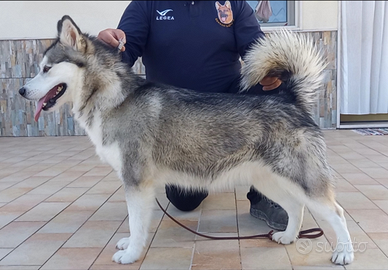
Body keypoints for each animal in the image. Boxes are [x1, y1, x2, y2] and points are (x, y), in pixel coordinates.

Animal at [19, 15, 354, 264]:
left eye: (46, 69)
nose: (21, 91)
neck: (113, 98)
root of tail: (288, 98)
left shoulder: (136, 181)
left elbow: (137, 223)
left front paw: (131, 253)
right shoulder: (139, 184)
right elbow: (135, 223)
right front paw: (130, 244)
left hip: (302, 179)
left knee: (336, 212)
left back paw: (344, 253)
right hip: (267, 179)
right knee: (296, 207)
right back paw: (288, 236)